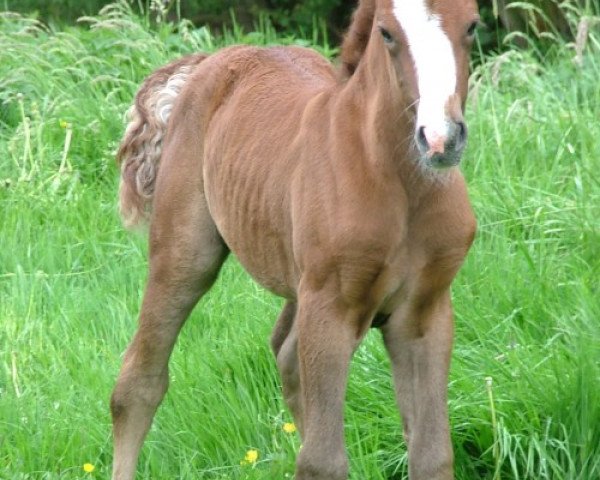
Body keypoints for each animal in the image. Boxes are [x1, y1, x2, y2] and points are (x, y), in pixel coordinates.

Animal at [111, 0, 478, 480]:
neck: (398, 184)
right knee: (138, 382)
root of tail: (210, 61)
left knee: (284, 354)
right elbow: (323, 460)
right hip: (186, 255)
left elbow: (432, 453)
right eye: (386, 33)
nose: (440, 138)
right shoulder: (331, 307)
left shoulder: (425, 313)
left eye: (472, 26)